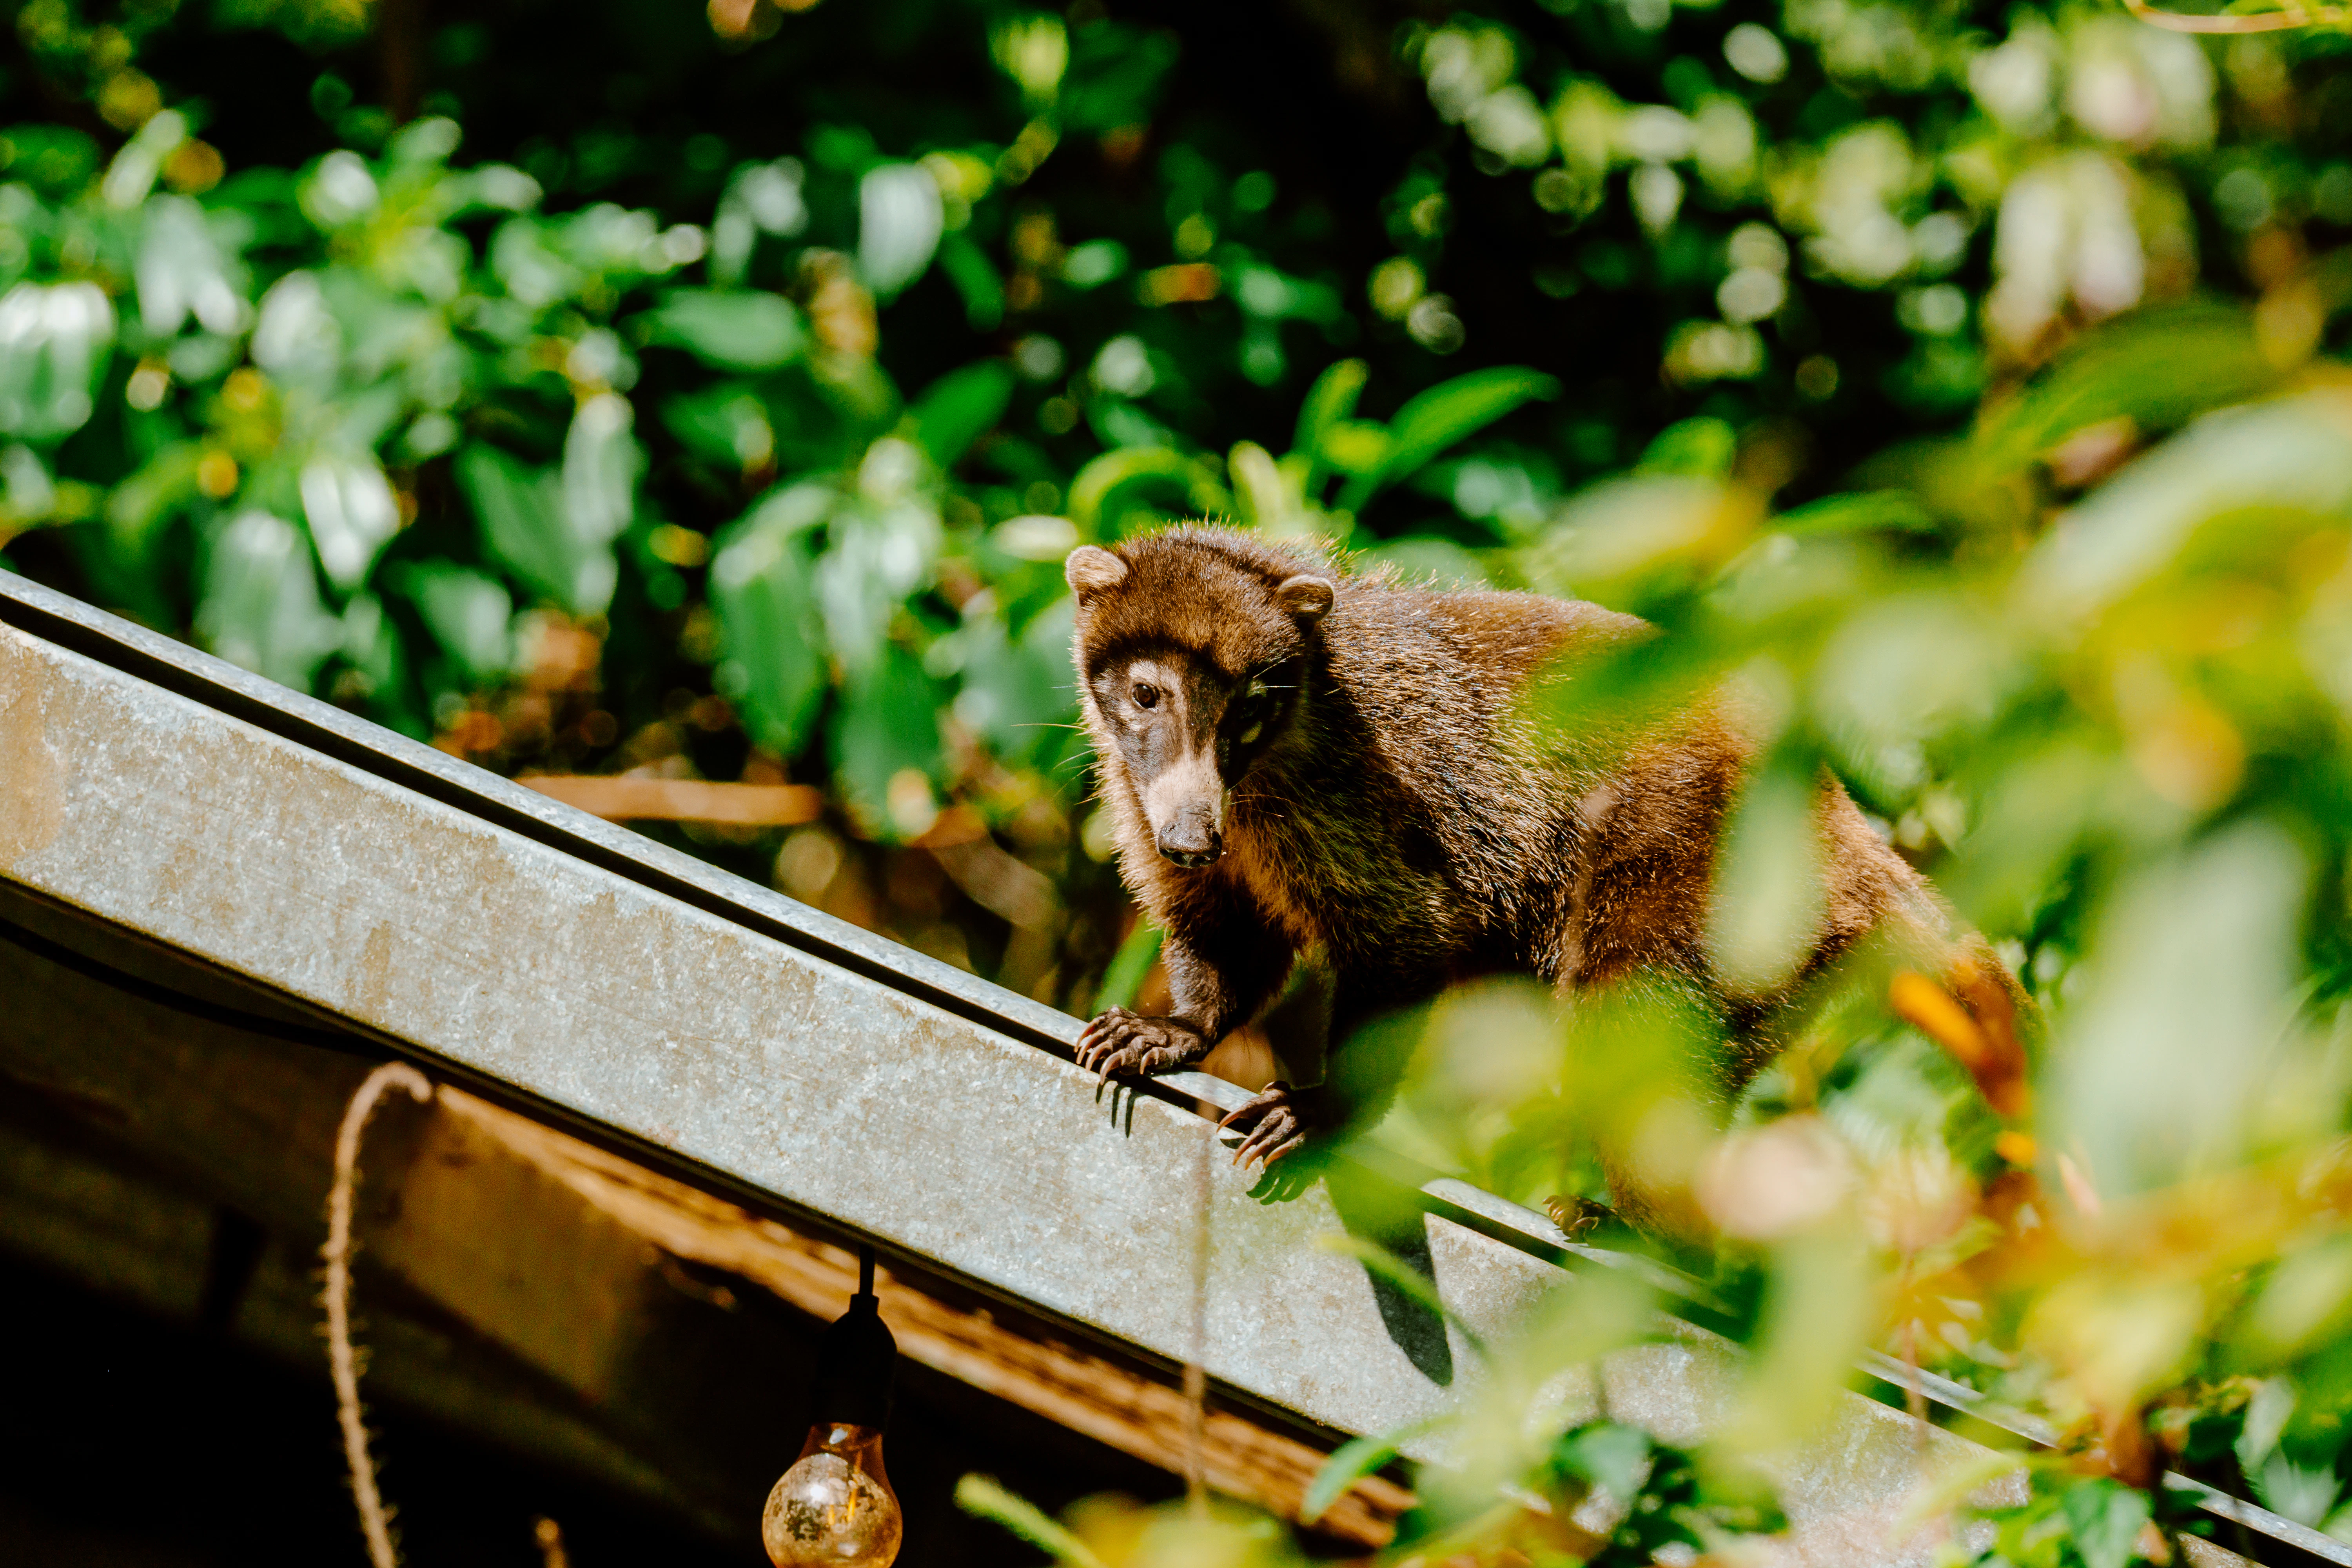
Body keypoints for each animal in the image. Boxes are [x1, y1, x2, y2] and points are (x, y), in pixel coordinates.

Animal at [1064, 526, 2023, 1185]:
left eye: (1245, 713)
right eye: (1148, 695)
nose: (1194, 839)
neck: (1255, 779)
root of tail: (1841, 820)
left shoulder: (1348, 800)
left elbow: (1413, 943)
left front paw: (1326, 1107)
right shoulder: (1145, 794)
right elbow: (1221, 926)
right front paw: (1186, 1025)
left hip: (1713, 864)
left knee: (1636, 1019)